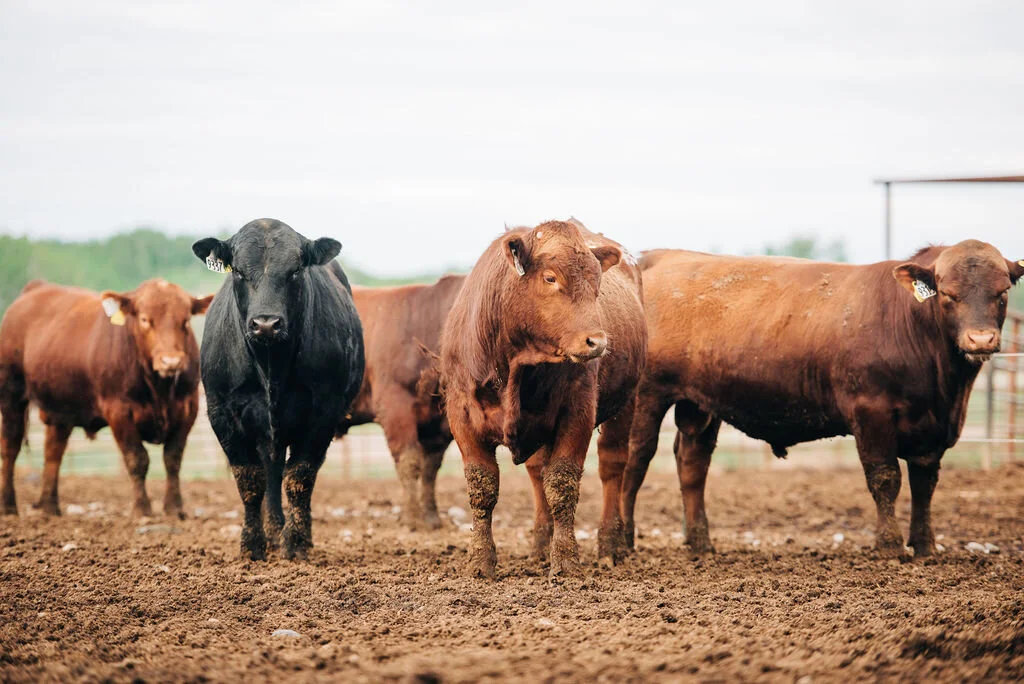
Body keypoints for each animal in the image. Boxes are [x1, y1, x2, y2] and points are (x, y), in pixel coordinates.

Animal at [0, 279, 212, 517]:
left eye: (185, 321)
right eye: (145, 319)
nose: (171, 361)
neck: (160, 390)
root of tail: (37, 287)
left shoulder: (188, 408)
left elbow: (173, 459)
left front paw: (175, 509)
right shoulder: (119, 411)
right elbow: (137, 459)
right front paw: (142, 509)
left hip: (60, 409)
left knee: (53, 453)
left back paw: (50, 507)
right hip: (11, 395)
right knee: (10, 447)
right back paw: (8, 506)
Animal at [192, 218, 364, 561]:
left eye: (295, 270)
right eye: (238, 271)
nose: (266, 324)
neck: (270, 366)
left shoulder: (323, 413)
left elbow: (300, 477)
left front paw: (296, 544)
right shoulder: (222, 412)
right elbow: (250, 479)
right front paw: (251, 545)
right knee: (270, 472)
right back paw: (272, 532)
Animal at [336, 274, 466, 530]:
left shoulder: (439, 422)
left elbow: (430, 468)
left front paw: (431, 516)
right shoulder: (395, 406)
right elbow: (409, 462)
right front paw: (412, 518)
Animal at [440, 219, 647, 579]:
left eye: (596, 282)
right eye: (550, 277)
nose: (597, 342)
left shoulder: (577, 414)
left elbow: (562, 485)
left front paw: (565, 561)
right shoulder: (462, 415)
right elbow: (482, 488)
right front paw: (480, 562)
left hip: (626, 404)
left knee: (612, 467)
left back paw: (610, 546)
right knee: (538, 472)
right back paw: (539, 545)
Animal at [620, 240, 1023, 559]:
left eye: (1003, 293)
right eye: (948, 294)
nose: (980, 339)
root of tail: (658, 257)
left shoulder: (932, 429)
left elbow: (925, 484)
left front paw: (925, 546)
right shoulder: (871, 412)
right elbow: (885, 478)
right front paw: (889, 546)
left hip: (700, 403)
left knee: (693, 463)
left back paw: (701, 544)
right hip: (646, 397)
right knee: (636, 460)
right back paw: (624, 540)